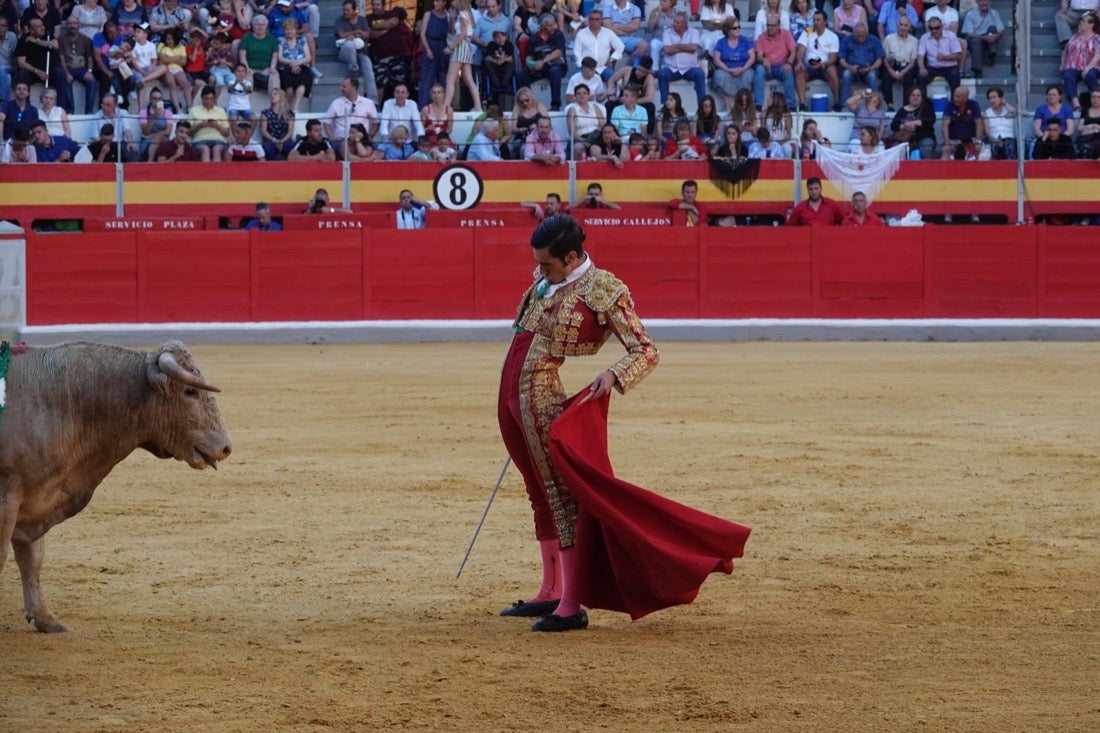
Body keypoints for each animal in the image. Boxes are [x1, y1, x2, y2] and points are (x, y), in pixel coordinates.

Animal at [0, 338, 229, 629]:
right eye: (190, 390)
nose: (225, 447)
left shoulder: (36, 495)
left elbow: (32, 558)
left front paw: (44, 617)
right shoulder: (8, 497)